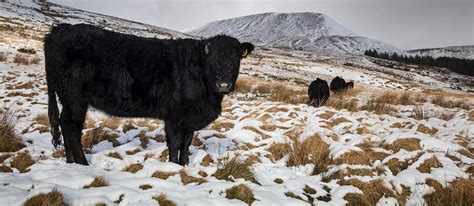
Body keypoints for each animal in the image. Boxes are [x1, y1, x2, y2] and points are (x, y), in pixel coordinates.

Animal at [42, 23, 254, 166]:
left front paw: (185, 164)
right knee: (72, 126)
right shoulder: (175, 115)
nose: (223, 84)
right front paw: (174, 167)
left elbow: (187, 143)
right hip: (74, 97)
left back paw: (71, 161)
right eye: (212, 58)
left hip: (69, 98)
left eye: (236, 58)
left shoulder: (190, 117)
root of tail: (59, 30)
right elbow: (175, 143)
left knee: (64, 123)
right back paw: (82, 162)